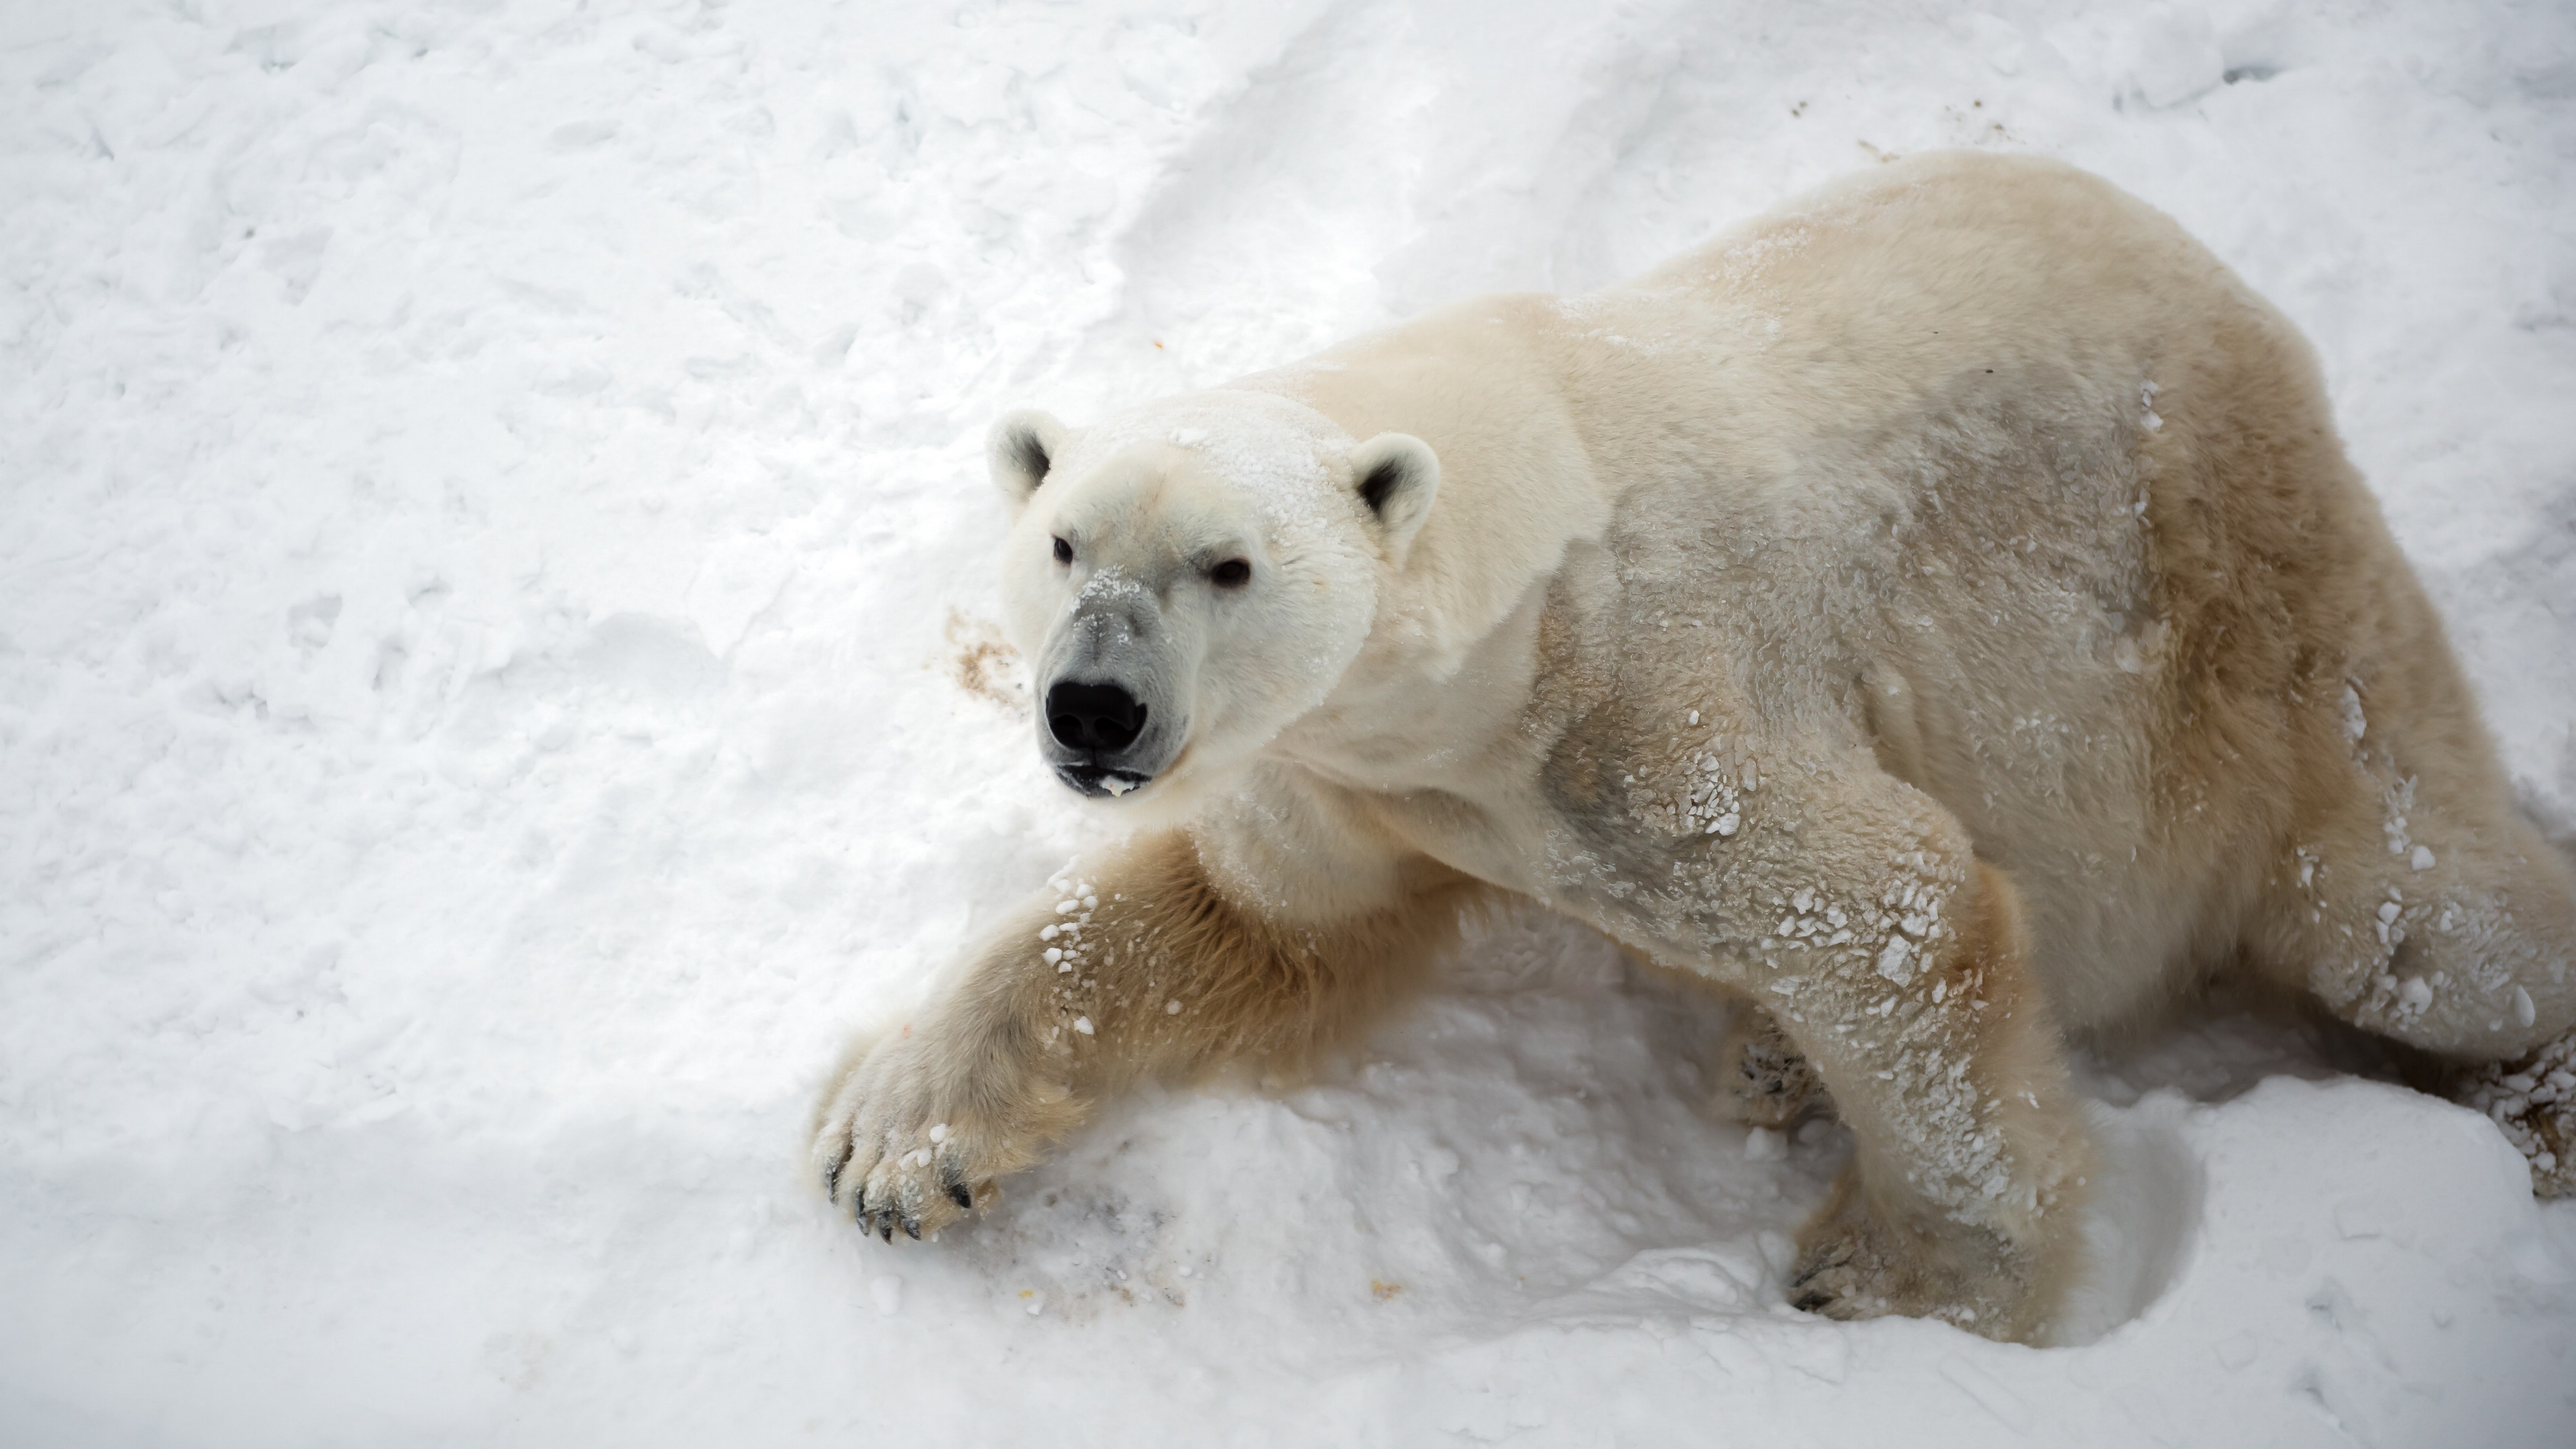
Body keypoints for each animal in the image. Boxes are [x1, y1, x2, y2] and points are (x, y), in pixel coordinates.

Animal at [814, 152, 2576, 1340]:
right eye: (1062, 541)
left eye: (1226, 565)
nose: (1091, 709)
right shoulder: (1352, 780)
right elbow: (1247, 920)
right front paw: (892, 1143)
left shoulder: (1659, 716)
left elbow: (1897, 912)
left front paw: (1894, 1276)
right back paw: (1770, 1054)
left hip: (2247, 625)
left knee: (2411, 920)